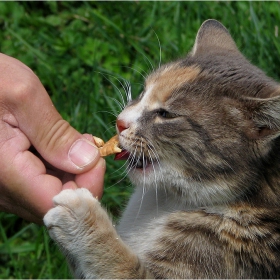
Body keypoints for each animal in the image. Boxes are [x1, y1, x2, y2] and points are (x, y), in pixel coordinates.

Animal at [43, 19, 280, 278]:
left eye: (167, 115)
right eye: (143, 91)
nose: (120, 121)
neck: (165, 201)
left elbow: (123, 264)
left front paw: (81, 218)